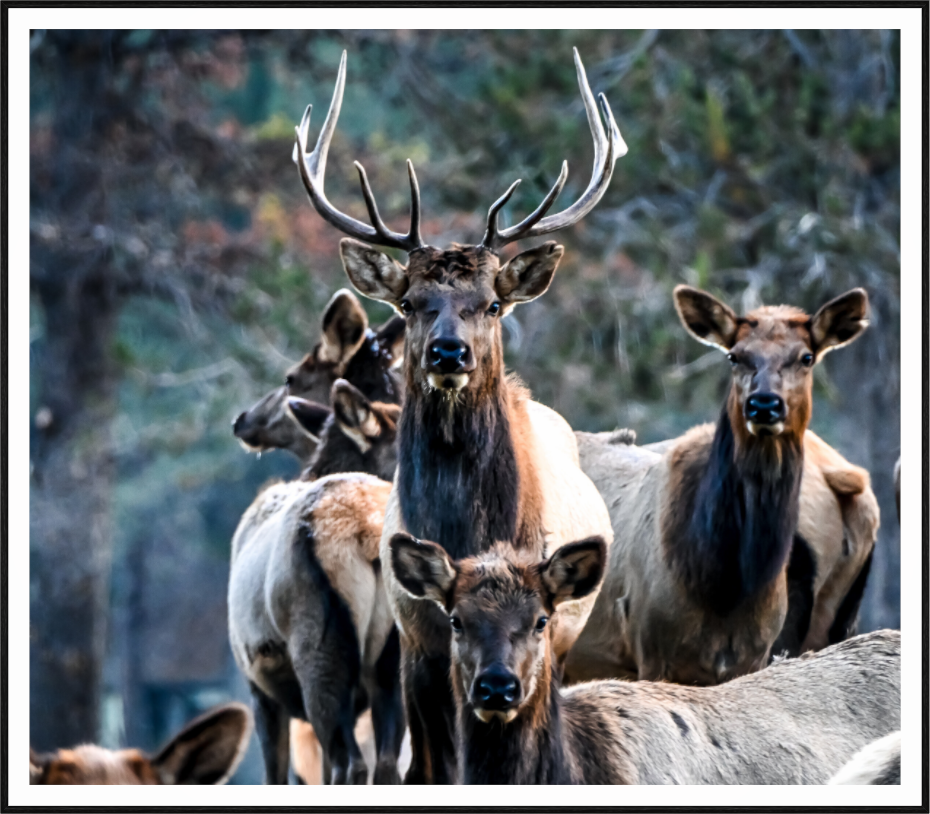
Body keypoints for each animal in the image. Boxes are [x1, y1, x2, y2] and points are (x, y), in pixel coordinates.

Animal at [292, 48, 622, 783]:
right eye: (409, 302)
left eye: (492, 302)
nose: (450, 352)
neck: (466, 524)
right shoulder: (416, 638)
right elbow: (428, 765)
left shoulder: (541, 626)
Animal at [565, 286, 876, 686]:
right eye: (735, 356)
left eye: (806, 357)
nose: (763, 404)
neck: (725, 583)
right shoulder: (650, 650)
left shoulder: (752, 656)